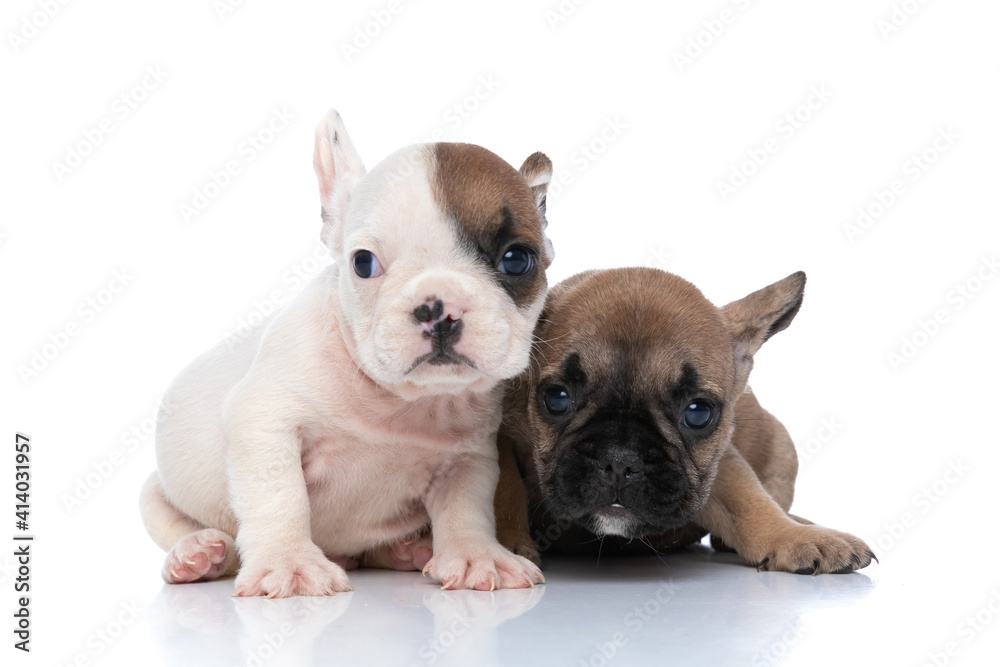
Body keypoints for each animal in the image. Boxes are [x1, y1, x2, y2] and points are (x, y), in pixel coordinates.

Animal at [139, 108, 556, 596]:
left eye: (517, 259)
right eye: (363, 263)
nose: (438, 307)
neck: (402, 401)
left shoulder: (468, 458)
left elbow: (467, 509)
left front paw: (476, 556)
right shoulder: (265, 424)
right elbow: (279, 497)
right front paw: (288, 562)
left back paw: (406, 551)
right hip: (156, 493)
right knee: (178, 525)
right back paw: (197, 555)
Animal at [500, 268, 876, 576]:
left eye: (698, 413)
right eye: (557, 399)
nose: (620, 459)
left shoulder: (718, 462)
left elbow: (747, 498)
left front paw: (791, 536)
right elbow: (507, 487)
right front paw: (507, 548)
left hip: (782, 448)